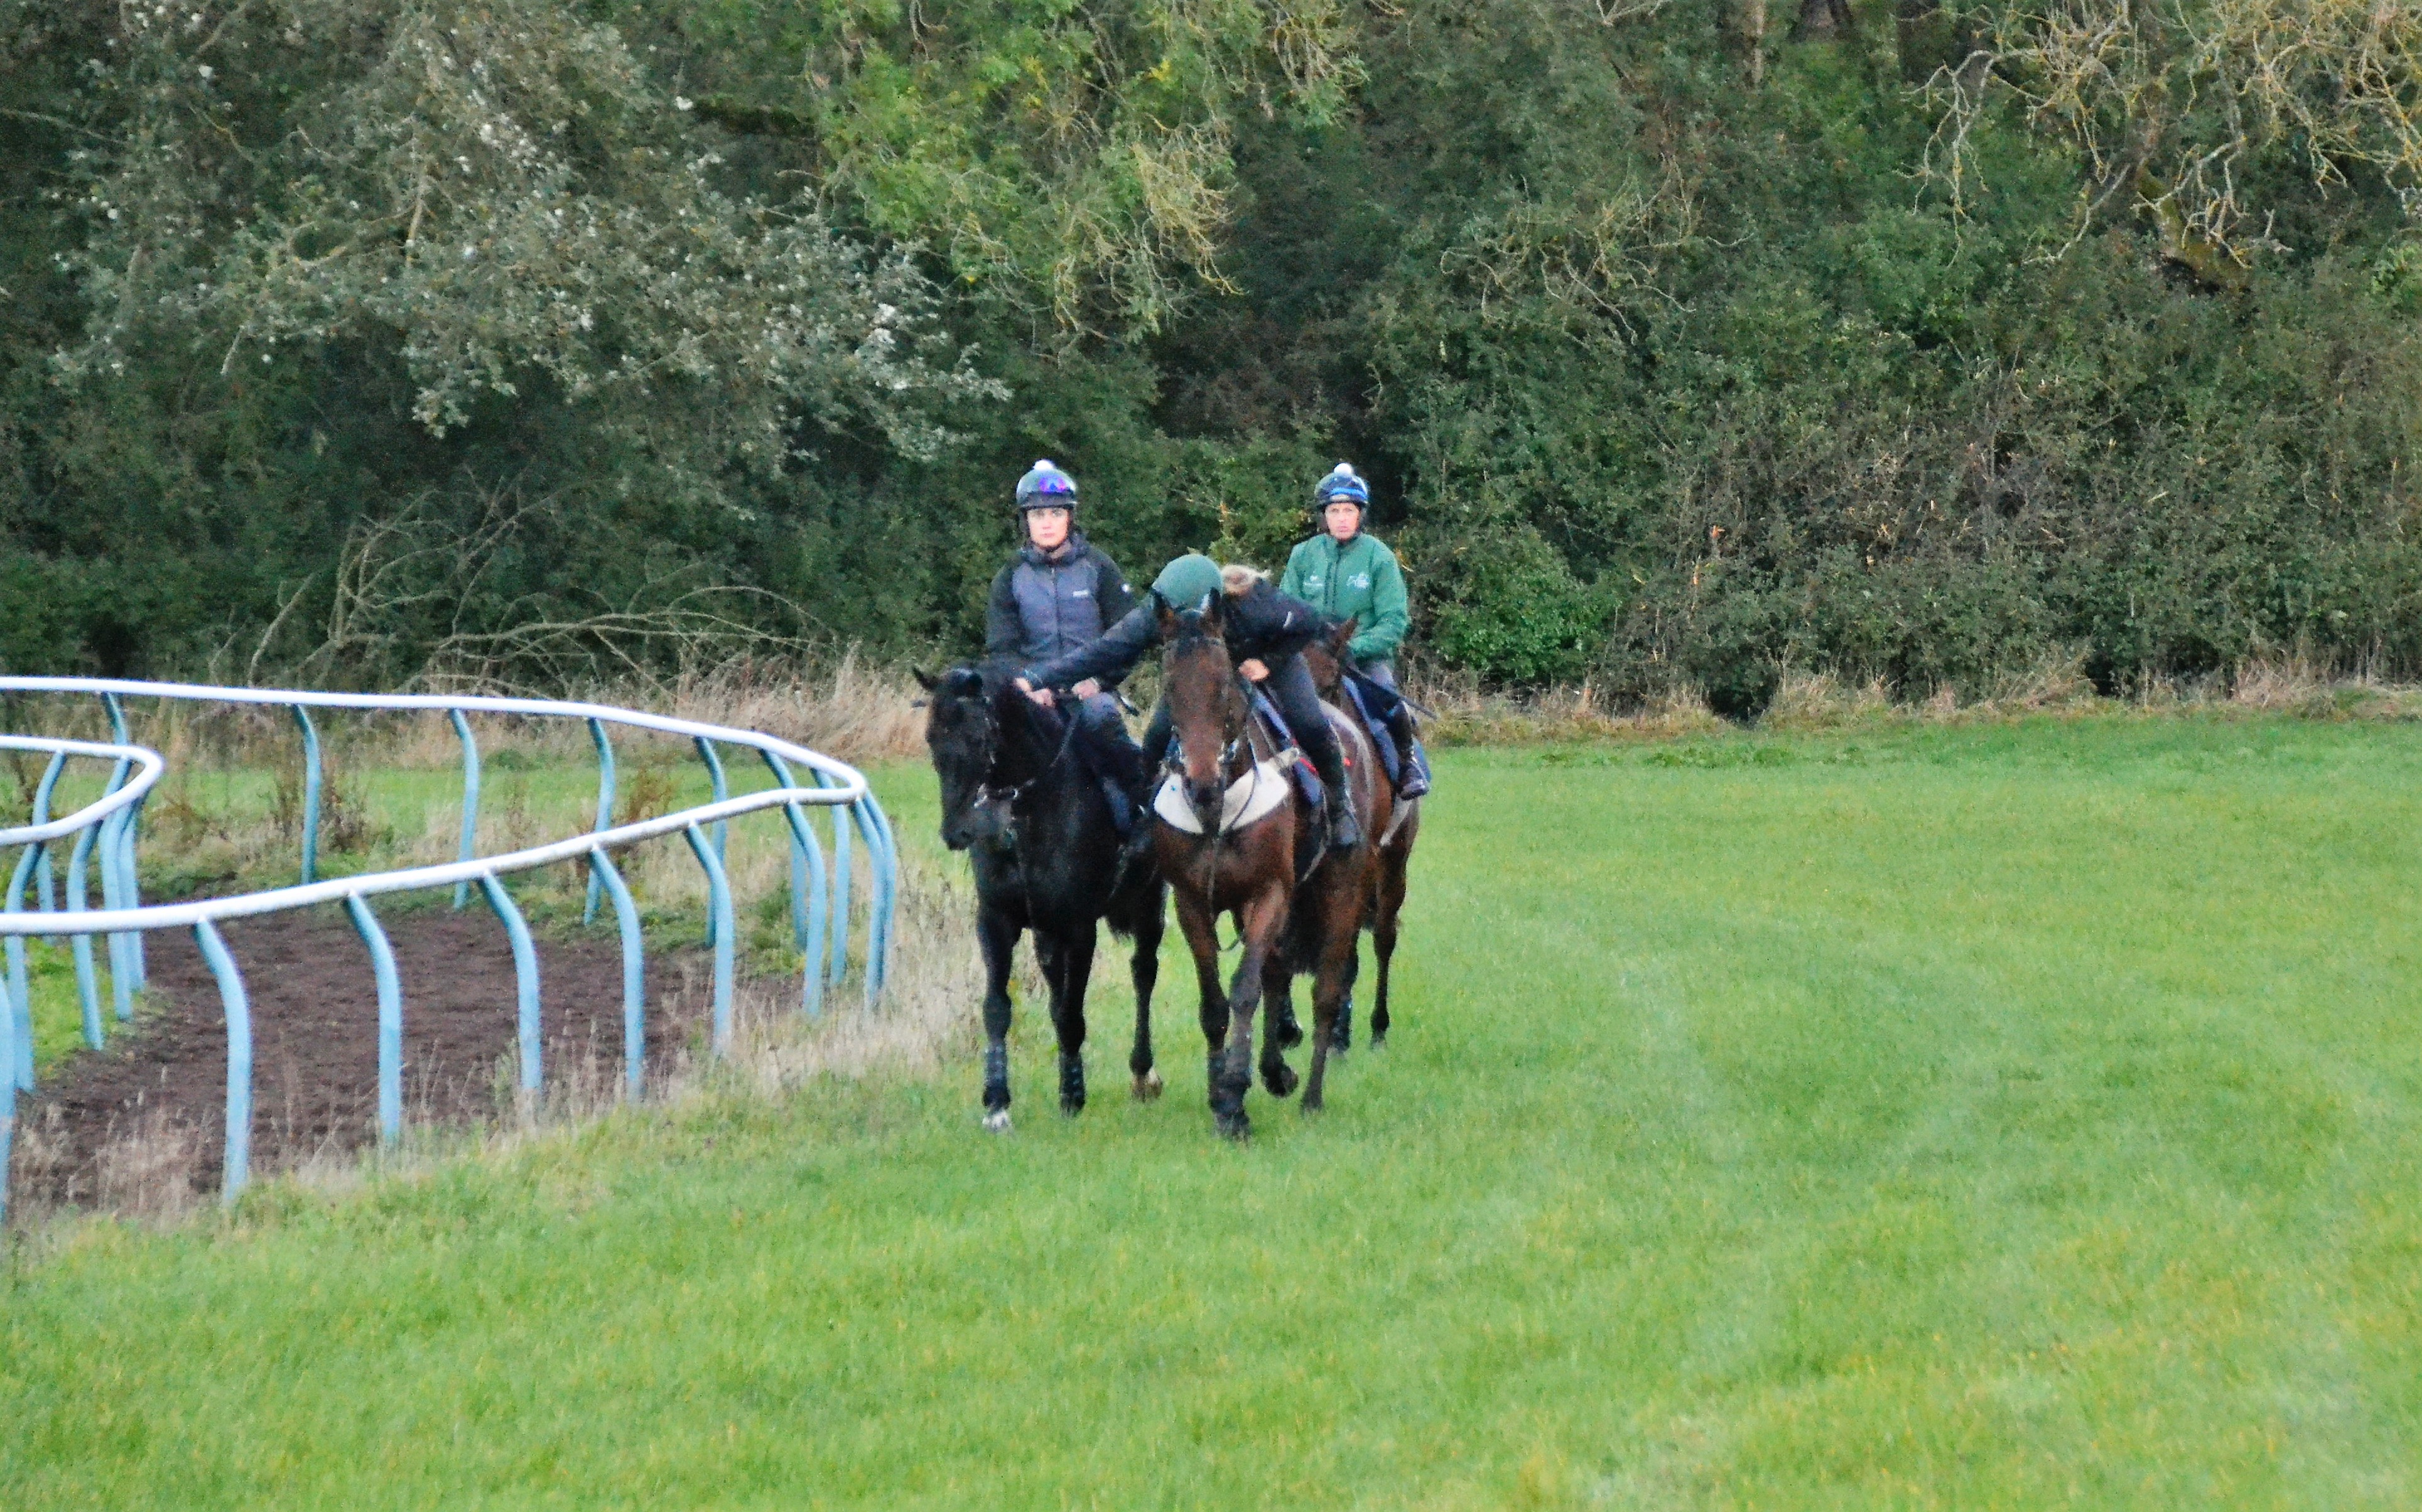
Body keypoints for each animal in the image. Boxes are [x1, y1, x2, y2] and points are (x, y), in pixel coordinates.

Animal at [911, 669, 1167, 1129]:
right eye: (931, 737)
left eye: (979, 737)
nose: (957, 832)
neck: (1024, 818)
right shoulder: (997, 922)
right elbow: (998, 1008)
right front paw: (997, 1103)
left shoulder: (1080, 928)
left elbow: (1071, 1014)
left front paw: (1072, 1095)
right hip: (1047, 935)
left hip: (1147, 908)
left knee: (1143, 973)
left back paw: (1143, 1074)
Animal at [1143, 596, 1375, 1138]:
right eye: (1170, 689)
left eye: (1223, 685)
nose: (1202, 783)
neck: (1216, 811)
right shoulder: (1192, 903)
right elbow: (1214, 1003)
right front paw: (1221, 1092)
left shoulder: (1269, 892)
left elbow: (1244, 991)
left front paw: (1233, 1100)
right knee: (1277, 970)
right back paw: (1274, 1071)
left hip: (1340, 892)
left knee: (1326, 991)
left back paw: (1310, 1096)